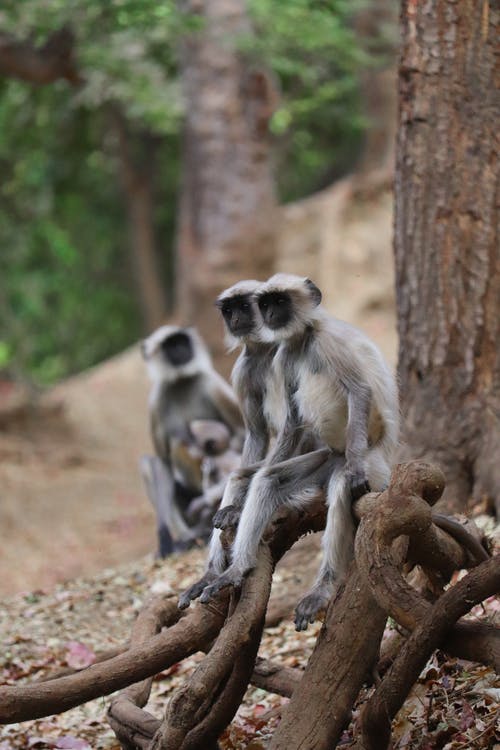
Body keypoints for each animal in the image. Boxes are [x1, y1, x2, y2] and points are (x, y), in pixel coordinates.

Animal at [141, 328, 244, 560]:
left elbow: (240, 436)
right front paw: (165, 538)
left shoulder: (211, 384)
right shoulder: (155, 402)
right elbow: (163, 463)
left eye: (182, 341)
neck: (180, 380)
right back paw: (189, 537)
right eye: (171, 345)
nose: (181, 349)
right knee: (149, 463)